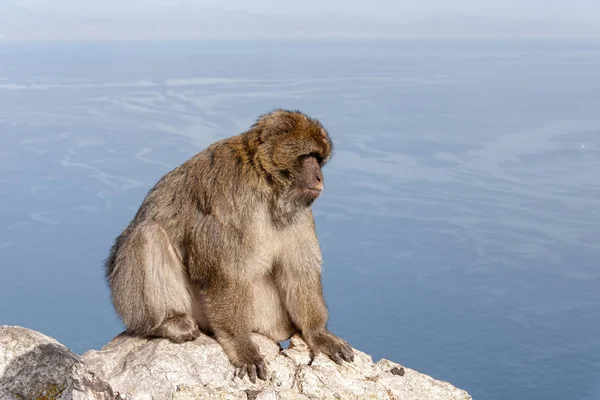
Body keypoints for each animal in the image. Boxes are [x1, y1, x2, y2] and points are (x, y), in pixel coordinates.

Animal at [105, 108, 354, 382]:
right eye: (308, 156)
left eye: (318, 159)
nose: (320, 178)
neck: (265, 182)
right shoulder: (230, 198)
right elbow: (226, 274)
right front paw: (242, 346)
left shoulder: (298, 212)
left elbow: (299, 270)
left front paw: (317, 333)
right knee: (147, 234)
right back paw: (168, 322)